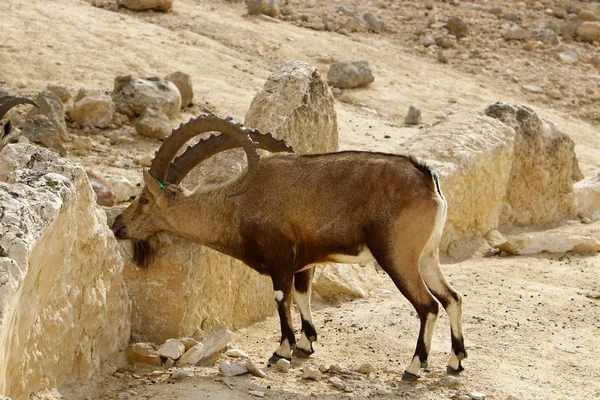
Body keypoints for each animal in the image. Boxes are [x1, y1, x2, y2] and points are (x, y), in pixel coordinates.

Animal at [113, 112, 468, 378]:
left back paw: (414, 367)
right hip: (427, 256)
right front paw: (306, 344)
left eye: (144, 200)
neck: (236, 204)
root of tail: (428, 179)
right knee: (452, 297)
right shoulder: (304, 262)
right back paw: (455, 361)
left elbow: (281, 298)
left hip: (398, 257)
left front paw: (280, 350)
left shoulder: (279, 258)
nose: (117, 225)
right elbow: (301, 294)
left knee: (428, 305)